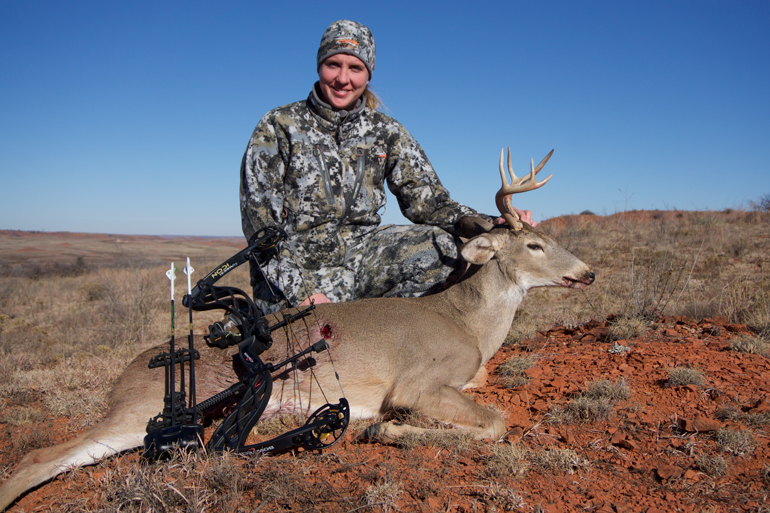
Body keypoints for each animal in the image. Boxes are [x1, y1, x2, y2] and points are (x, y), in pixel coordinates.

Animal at [0, 149, 594, 511]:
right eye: (534, 245)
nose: (587, 272)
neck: (468, 323)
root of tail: (128, 372)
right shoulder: (417, 382)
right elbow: (495, 423)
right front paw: (385, 430)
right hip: (139, 413)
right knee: (39, 456)